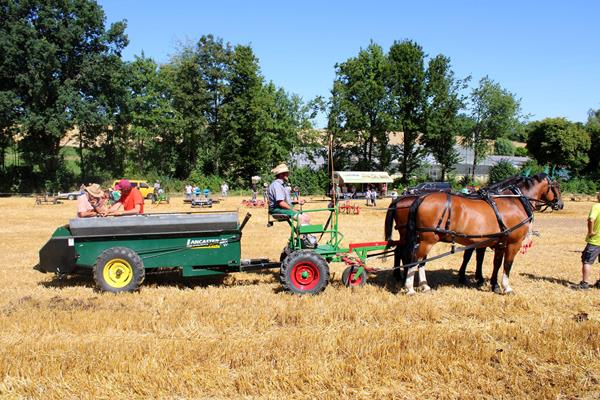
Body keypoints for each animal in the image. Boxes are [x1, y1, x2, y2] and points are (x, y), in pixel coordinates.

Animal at [398, 173, 564, 296]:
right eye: (556, 186)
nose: (561, 204)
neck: (513, 202)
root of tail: (421, 198)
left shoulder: (500, 243)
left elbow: (496, 263)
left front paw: (494, 284)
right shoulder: (513, 243)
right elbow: (507, 264)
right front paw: (506, 287)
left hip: (423, 239)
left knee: (420, 261)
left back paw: (424, 286)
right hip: (427, 240)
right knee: (414, 259)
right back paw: (410, 288)